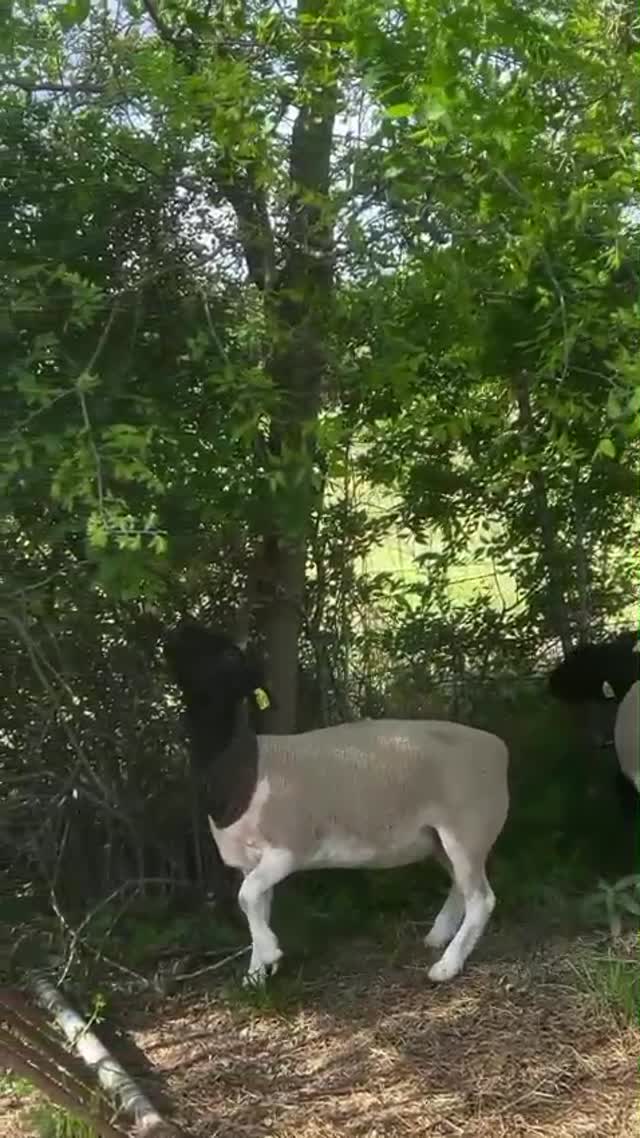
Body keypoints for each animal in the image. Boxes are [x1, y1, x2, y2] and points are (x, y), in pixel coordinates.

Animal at [164, 620, 509, 987]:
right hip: (439, 838)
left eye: (230, 655)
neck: (245, 767)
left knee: (482, 899)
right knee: (462, 885)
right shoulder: (248, 860)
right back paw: (438, 936)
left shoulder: (289, 847)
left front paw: (270, 954)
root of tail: (497, 747)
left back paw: (446, 966)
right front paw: (257, 975)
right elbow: (255, 905)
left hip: (469, 829)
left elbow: (247, 896)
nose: (179, 630)